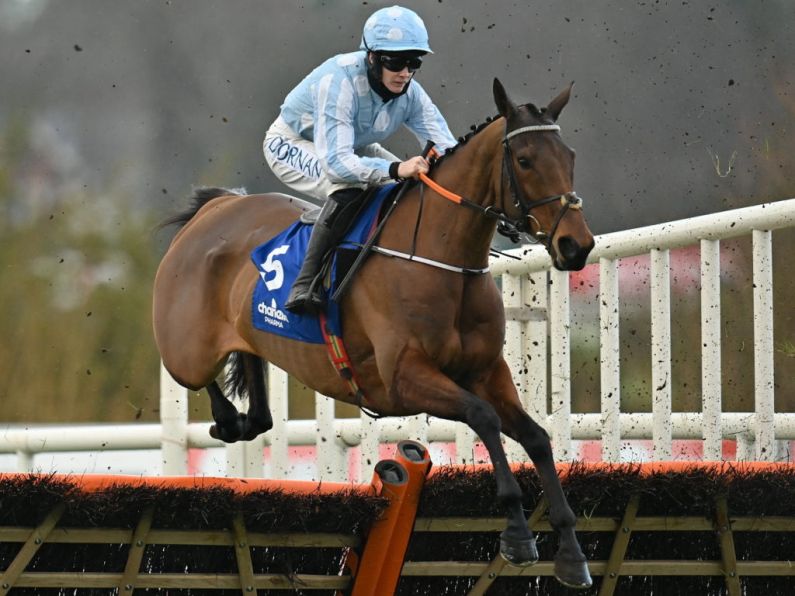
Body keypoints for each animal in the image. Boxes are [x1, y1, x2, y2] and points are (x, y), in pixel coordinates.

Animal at [152, 78, 592, 588]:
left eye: (570, 156)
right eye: (524, 160)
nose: (577, 246)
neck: (440, 256)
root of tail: (218, 206)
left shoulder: (486, 372)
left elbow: (536, 437)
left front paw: (571, 553)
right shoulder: (404, 378)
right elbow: (483, 417)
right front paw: (518, 535)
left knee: (255, 387)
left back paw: (246, 418)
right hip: (186, 350)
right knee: (196, 377)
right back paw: (227, 419)